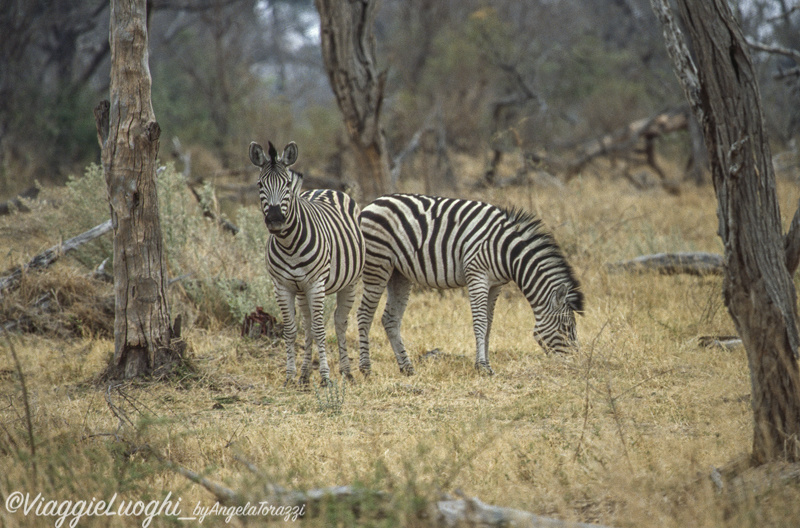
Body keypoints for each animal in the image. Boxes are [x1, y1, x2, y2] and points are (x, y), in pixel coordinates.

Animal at [250, 141, 366, 384]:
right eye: (260, 184)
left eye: (286, 184)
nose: (275, 219)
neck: (289, 244)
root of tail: (327, 189)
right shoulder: (282, 286)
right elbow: (292, 330)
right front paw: (290, 376)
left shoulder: (316, 284)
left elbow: (321, 329)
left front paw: (325, 377)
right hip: (301, 290)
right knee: (308, 325)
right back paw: (304, 374)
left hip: (350, 282)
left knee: (340, 322)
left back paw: (347, 372)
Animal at [360, 193, 584, 376]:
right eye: (567, 327)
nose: (575, 363)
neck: (507, 252)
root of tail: (371, 203)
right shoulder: (477, 276)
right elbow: (480, 322)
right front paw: (482, 367)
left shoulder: (496, 284)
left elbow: (489, 324)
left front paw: (485, 363)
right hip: (377, 264)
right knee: (364, 314)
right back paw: (366, 369)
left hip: (399, 273)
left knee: (390, 319)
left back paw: (407, 368)